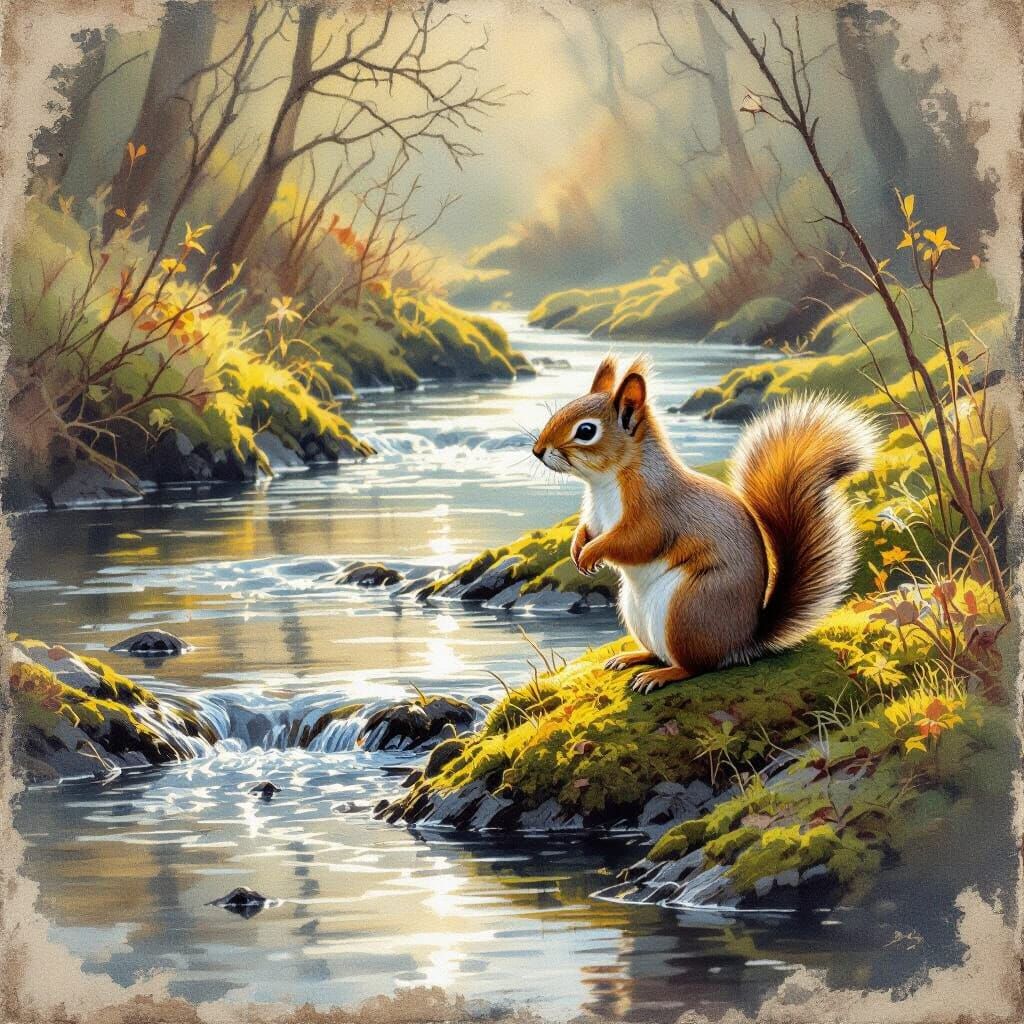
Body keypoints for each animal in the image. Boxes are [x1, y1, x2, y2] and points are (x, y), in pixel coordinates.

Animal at [532, 355, 878, 694]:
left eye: (586, 431)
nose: (537, 451)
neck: (605, 483)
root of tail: (742, 643)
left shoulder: (656, 512)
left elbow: (637, 542)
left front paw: (593, 552)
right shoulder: (594, 515)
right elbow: (587, 530)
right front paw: (578, 548)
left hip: (688, 610)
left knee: (696, 666)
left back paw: (662, 675)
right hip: (636, 612)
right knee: (658, 652)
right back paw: (632, 657)